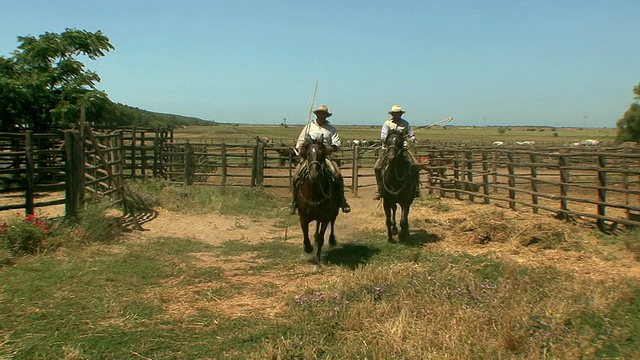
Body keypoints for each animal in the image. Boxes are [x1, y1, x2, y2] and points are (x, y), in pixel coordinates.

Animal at [296, 134, 342, 262]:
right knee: (317, 223)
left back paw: (332, 240)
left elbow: (322, 237)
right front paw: (308, 248)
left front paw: (317, 258)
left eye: (322, 154)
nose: (314, 175)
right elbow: (305, 236)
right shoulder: (303, 216)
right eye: (307, 154)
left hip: (334, 211)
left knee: (332, 222)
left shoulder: (326, 216)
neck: (314, 193)